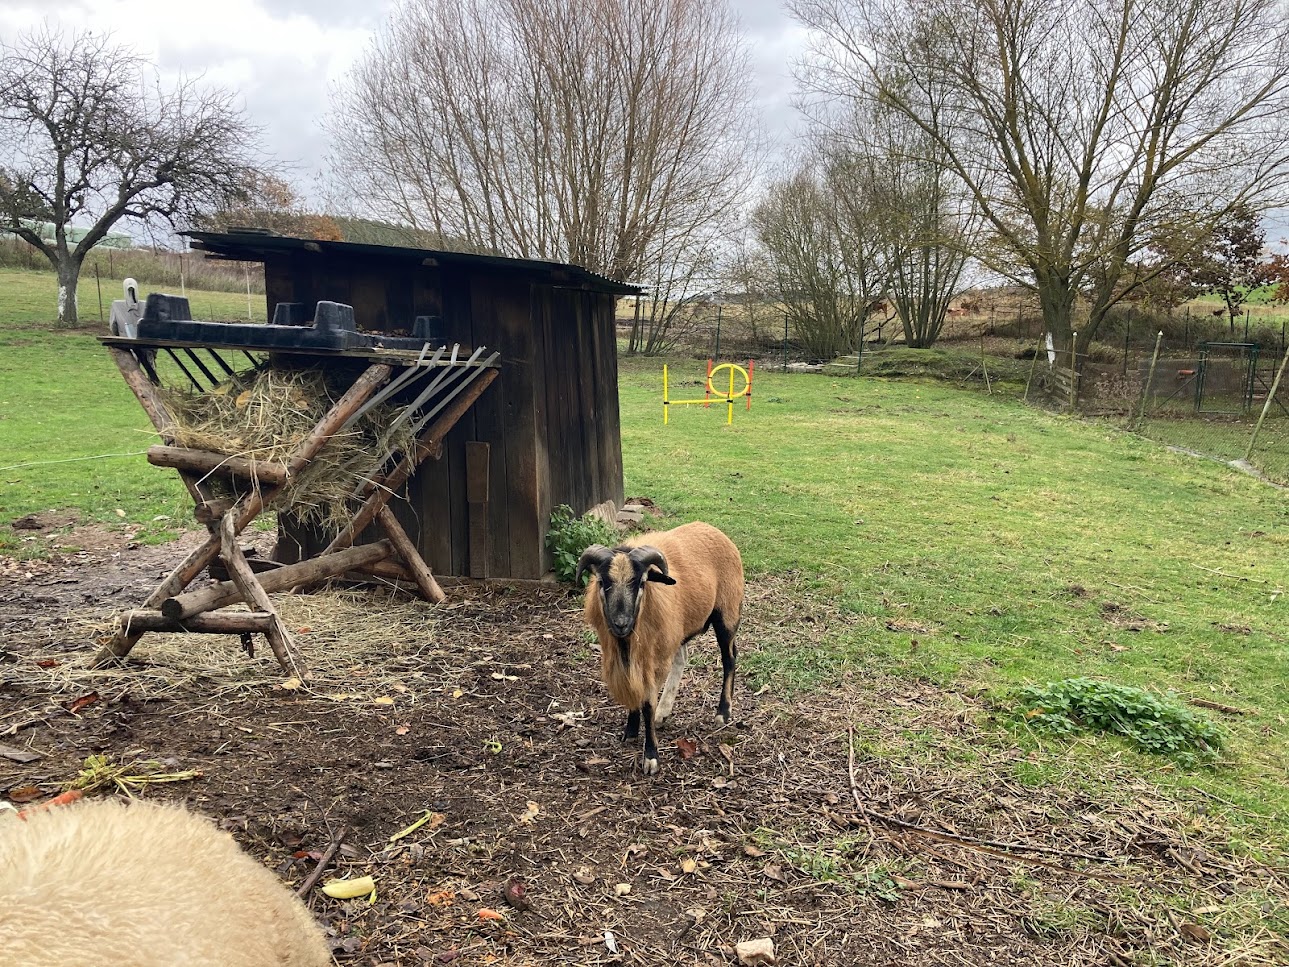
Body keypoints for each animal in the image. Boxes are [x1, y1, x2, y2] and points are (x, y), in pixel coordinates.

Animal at [577, 518, 747, 778]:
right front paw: (630, 731)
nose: (620, 623)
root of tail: (713, 529)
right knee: (682, 657)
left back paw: (722, 713)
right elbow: (635, 691)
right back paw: (663, 713)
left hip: (727, 613)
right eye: (602, 582)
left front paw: (651, 757)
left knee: (730, 659)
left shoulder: (653, 661)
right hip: (676, 633)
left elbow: (647, 703)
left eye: (640, 582)